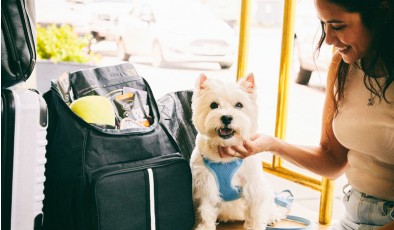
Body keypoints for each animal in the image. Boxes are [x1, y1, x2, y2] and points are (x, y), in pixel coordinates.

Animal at [189, 73, 284, 230]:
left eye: (239, 105)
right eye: (213, 105)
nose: (226, 117)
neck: (224, 156)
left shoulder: (252, 185)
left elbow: (255, 212)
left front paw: (255, 227)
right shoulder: (205, 184)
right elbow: (206, 210)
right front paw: (205, 227)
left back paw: (273, 216)